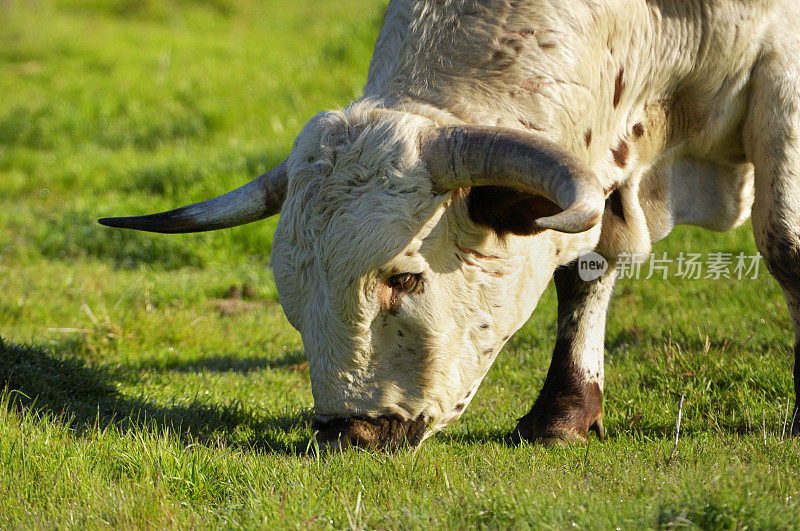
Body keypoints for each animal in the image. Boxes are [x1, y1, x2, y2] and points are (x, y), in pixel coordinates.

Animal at [98, 0, 800, 448]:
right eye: (292, 301)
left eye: (406, 279)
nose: (349, 430)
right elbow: (584, 267)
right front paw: (565, 413)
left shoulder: (781, 73)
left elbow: (785, 244)